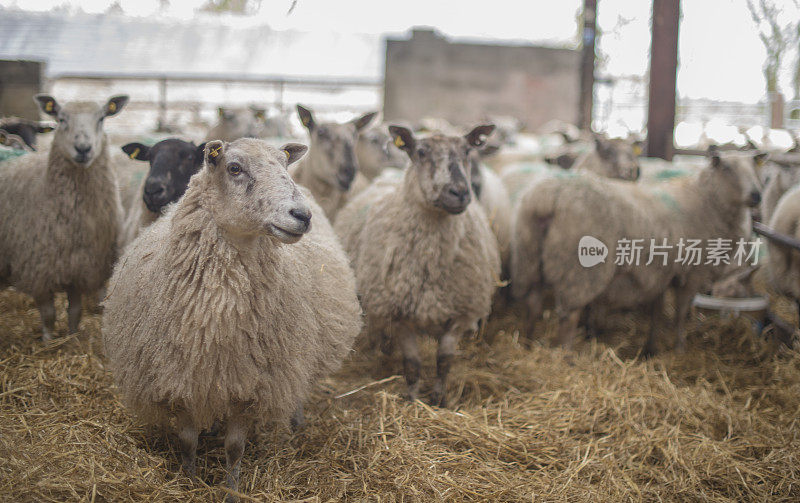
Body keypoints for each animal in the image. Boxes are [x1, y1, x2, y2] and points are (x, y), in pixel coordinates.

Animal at [0, 93, 127, 342]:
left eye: (101, 118)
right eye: (61, 119)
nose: (83, 148)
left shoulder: (78, 266)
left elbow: (75, 312)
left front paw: (73, 338)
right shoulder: (39, 268)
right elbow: (49, 314)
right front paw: (48, 341)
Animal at [336, 124, 500, 408]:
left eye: (467, 151)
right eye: (421, 152)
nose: (459, 192)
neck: (431, 258)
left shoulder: (459, 313)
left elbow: (444, 361)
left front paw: (438, 399)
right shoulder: (401, 313)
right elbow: (412, 364)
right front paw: (412, 399)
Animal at [510, 150, 764, 354]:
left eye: (754, 168)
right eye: (727, 168)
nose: (757, 195)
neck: (708, 201)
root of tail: (548, 198)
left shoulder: (661, 272)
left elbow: (657, 310)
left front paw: (652, 347)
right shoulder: (693, 273)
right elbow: (680, 313)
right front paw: (680, 348)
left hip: (530, 257)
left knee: (532, 303)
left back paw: (526, 343)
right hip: (578, 270)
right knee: (568, 316)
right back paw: (565, 355)